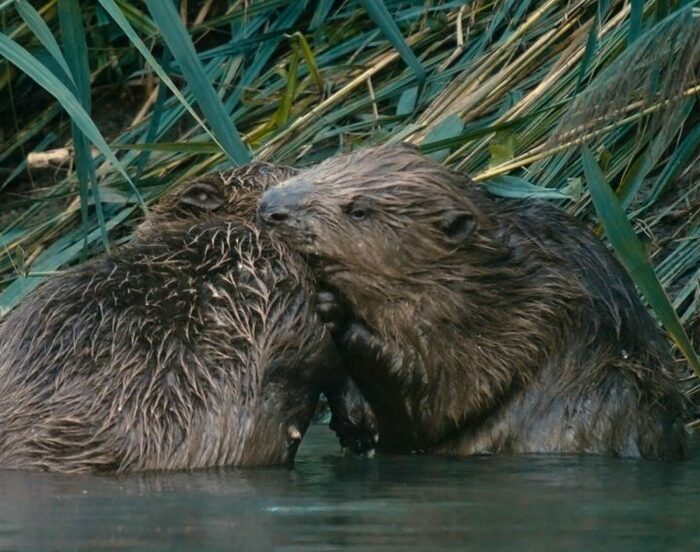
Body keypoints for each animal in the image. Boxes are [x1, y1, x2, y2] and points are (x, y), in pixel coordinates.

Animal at [260, 144, 692, 460]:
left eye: (359, 210)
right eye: (323, 165)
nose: (269, 207)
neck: (485, 276)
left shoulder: (506, 322)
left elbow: (434, 402)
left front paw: (332, 306)